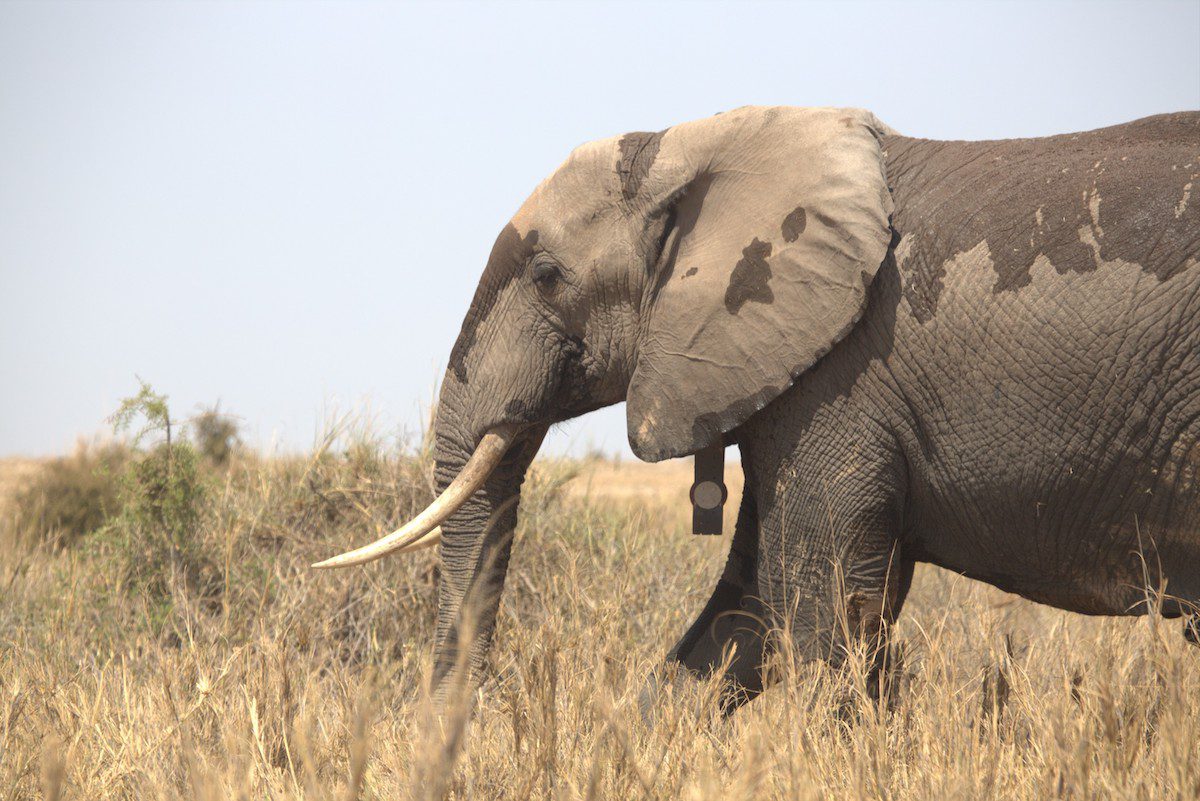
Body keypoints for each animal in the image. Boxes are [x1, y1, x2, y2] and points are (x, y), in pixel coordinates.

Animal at [316, 106, 1200, 712]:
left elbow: (819, 606)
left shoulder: (843, 377)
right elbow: (751, 599)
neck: (695, 146)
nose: (465, 725)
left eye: (544, 274)